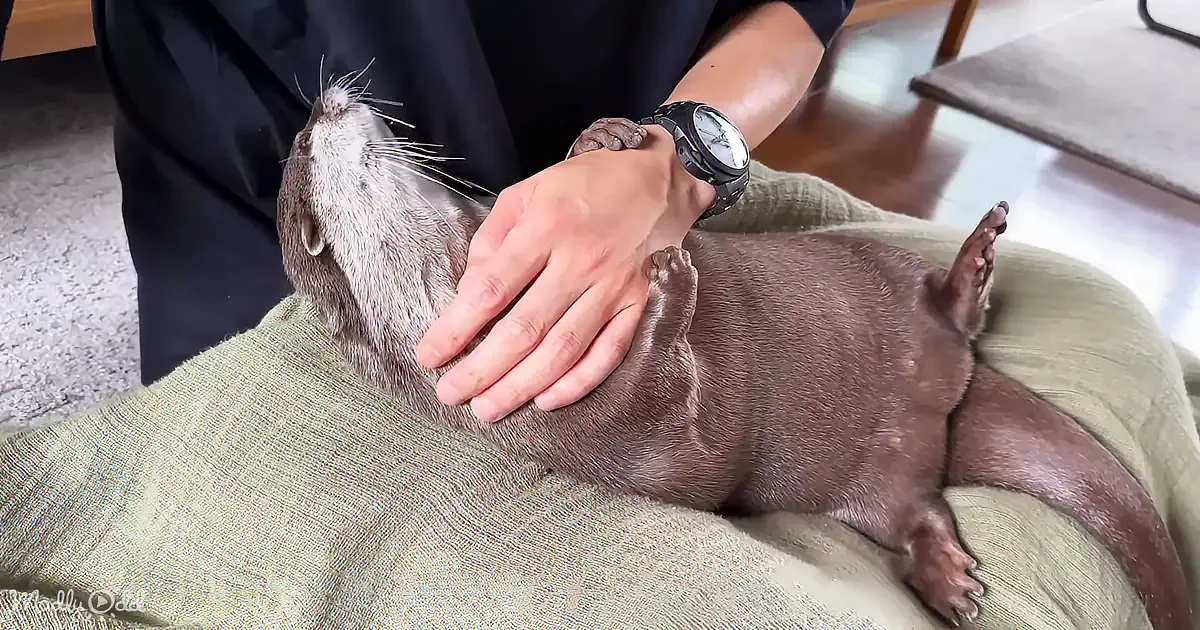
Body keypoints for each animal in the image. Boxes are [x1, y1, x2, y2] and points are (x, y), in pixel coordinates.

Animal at [274, 84, 1191, 629]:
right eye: (304, 149)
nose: (324, 98)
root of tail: (941, 396)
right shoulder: (576, 427)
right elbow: (689, 456)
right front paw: (667, 291)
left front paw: (603, 141)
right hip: (881, 466)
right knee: (920, 500)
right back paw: (945, 576)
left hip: (878, 273)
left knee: (944, 334)